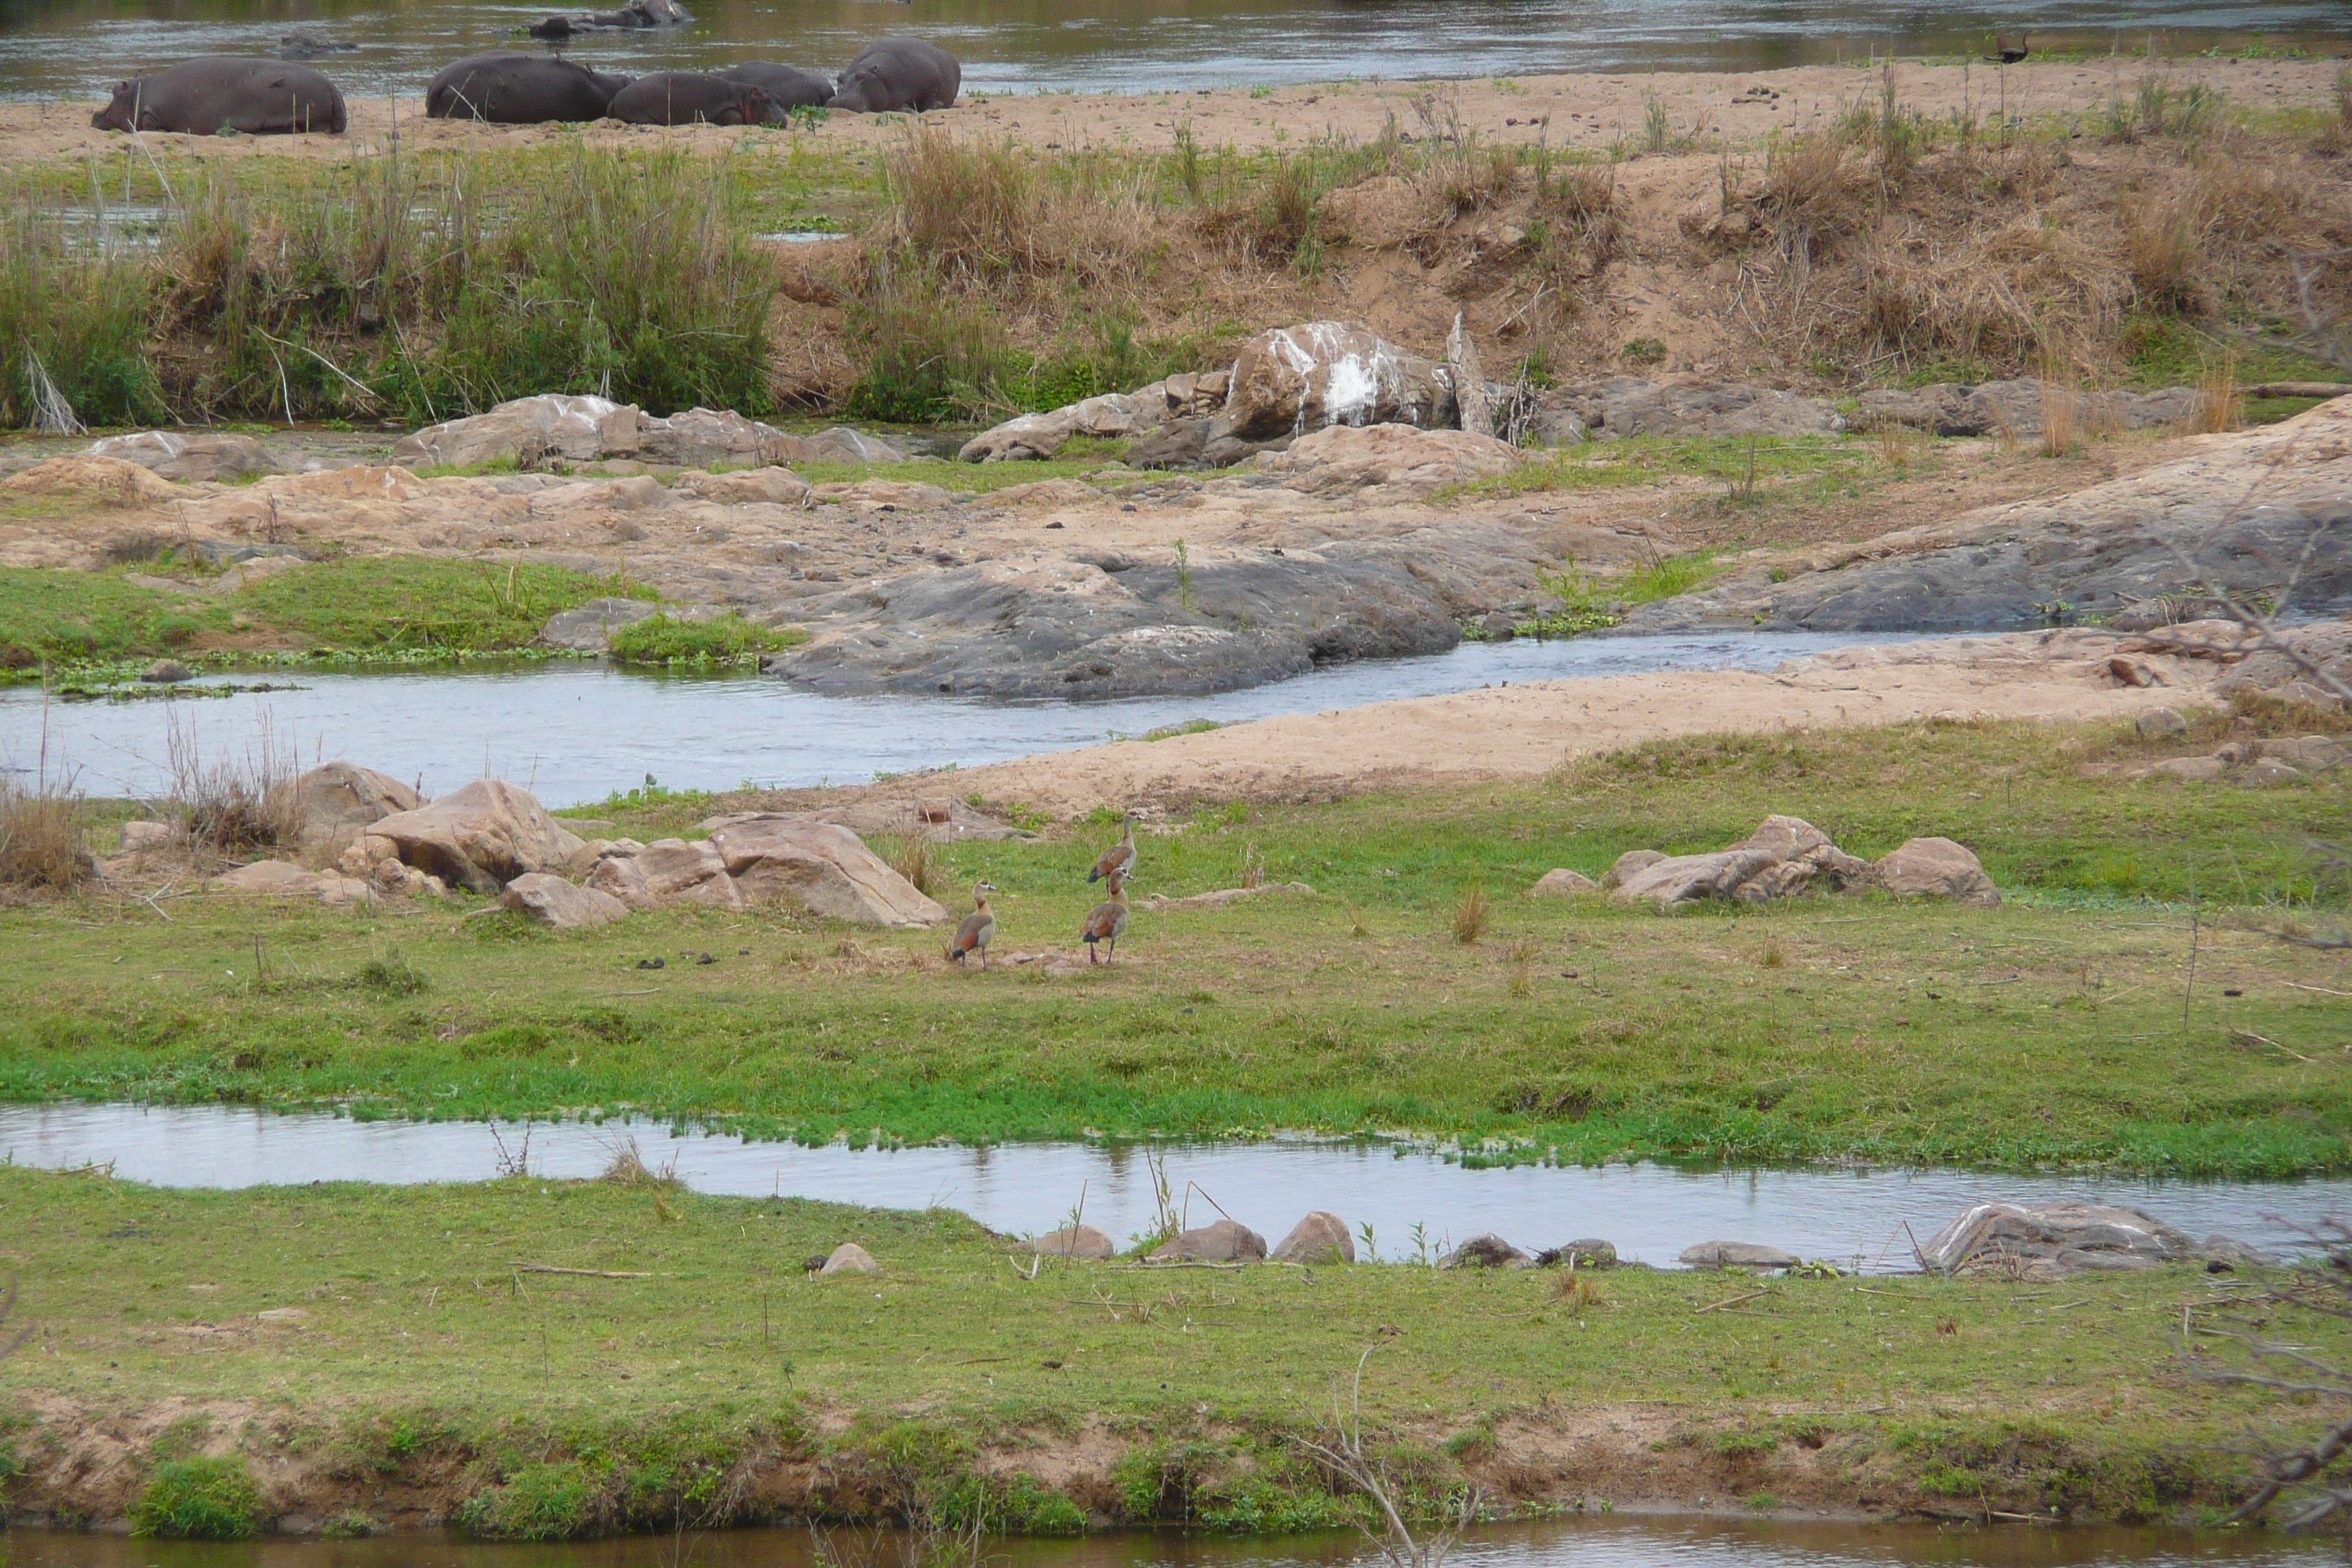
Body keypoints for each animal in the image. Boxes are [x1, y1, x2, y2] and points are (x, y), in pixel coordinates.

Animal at [94, 56, 347, 135]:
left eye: (114, 91)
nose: (95, 114)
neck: (138, 94)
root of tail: (334, 89)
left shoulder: (152, 116)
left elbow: (148, 124)